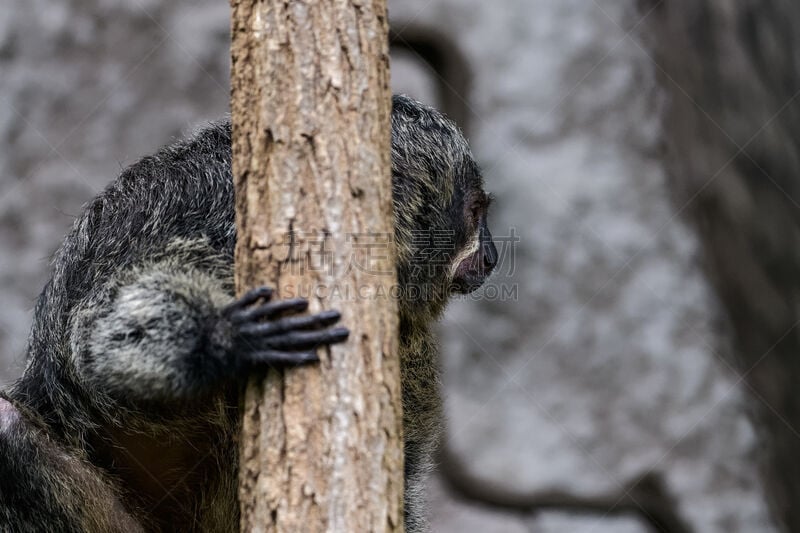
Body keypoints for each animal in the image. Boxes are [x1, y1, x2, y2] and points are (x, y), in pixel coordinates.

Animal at [0, 93, 496, 528]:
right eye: (475, 212)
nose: (491, 256)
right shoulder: (224, 238)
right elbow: (100, 336)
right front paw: (225, 341)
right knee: (9, 431)